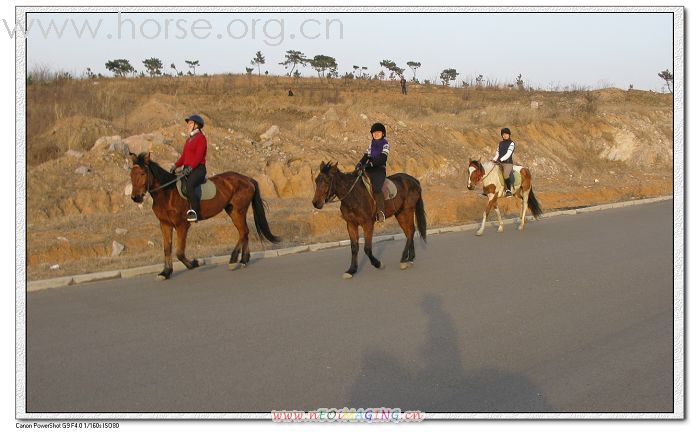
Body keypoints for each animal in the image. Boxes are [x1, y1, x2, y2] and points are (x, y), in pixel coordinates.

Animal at [130, 152, 280, 280]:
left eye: (143, 173)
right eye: (131, 174)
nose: (135, 198)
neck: (167, 193)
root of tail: (247, 178)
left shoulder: (182, 225)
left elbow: (179, 252)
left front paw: (195, 263)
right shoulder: (165, 224)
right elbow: (167, 248)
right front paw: (165, 273)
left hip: (238, 210)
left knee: (243, 232)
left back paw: (233, 260)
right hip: (233, 211)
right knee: (244, 232)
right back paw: (243, 260)